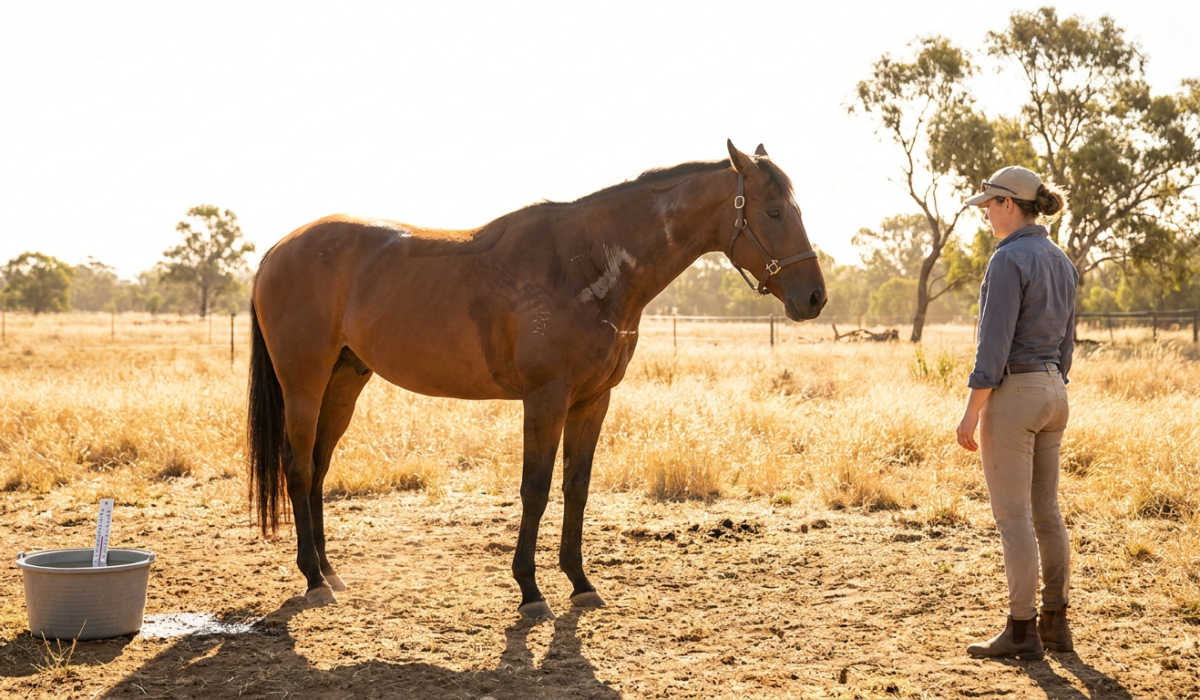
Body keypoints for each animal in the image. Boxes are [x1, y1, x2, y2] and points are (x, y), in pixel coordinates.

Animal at [247, 140, 827, 619]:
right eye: (774, 211)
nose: (815, 297)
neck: (588, 263)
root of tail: (277, 250)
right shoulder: (545, 400)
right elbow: (536, 489)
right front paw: (530, 590)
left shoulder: (593, 401)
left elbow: (576, 487)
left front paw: (580, 582)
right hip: (304, 382)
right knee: (298, 467)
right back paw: (313, 580)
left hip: (345, 380)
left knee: (319, 468)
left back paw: (331, 572)